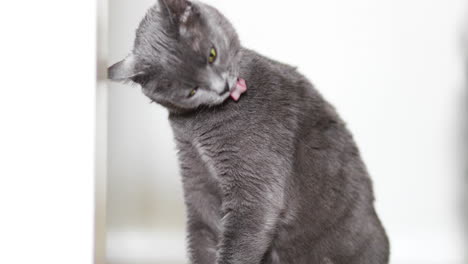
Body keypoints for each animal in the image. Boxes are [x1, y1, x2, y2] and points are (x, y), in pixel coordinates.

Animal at [108, 0, 390, 264]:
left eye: (212, 54)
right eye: (191, 90)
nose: (222, 87)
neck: (196, 128)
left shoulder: (254, 180)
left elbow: (240, 237)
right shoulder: (196, 176)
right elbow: (202, 235)